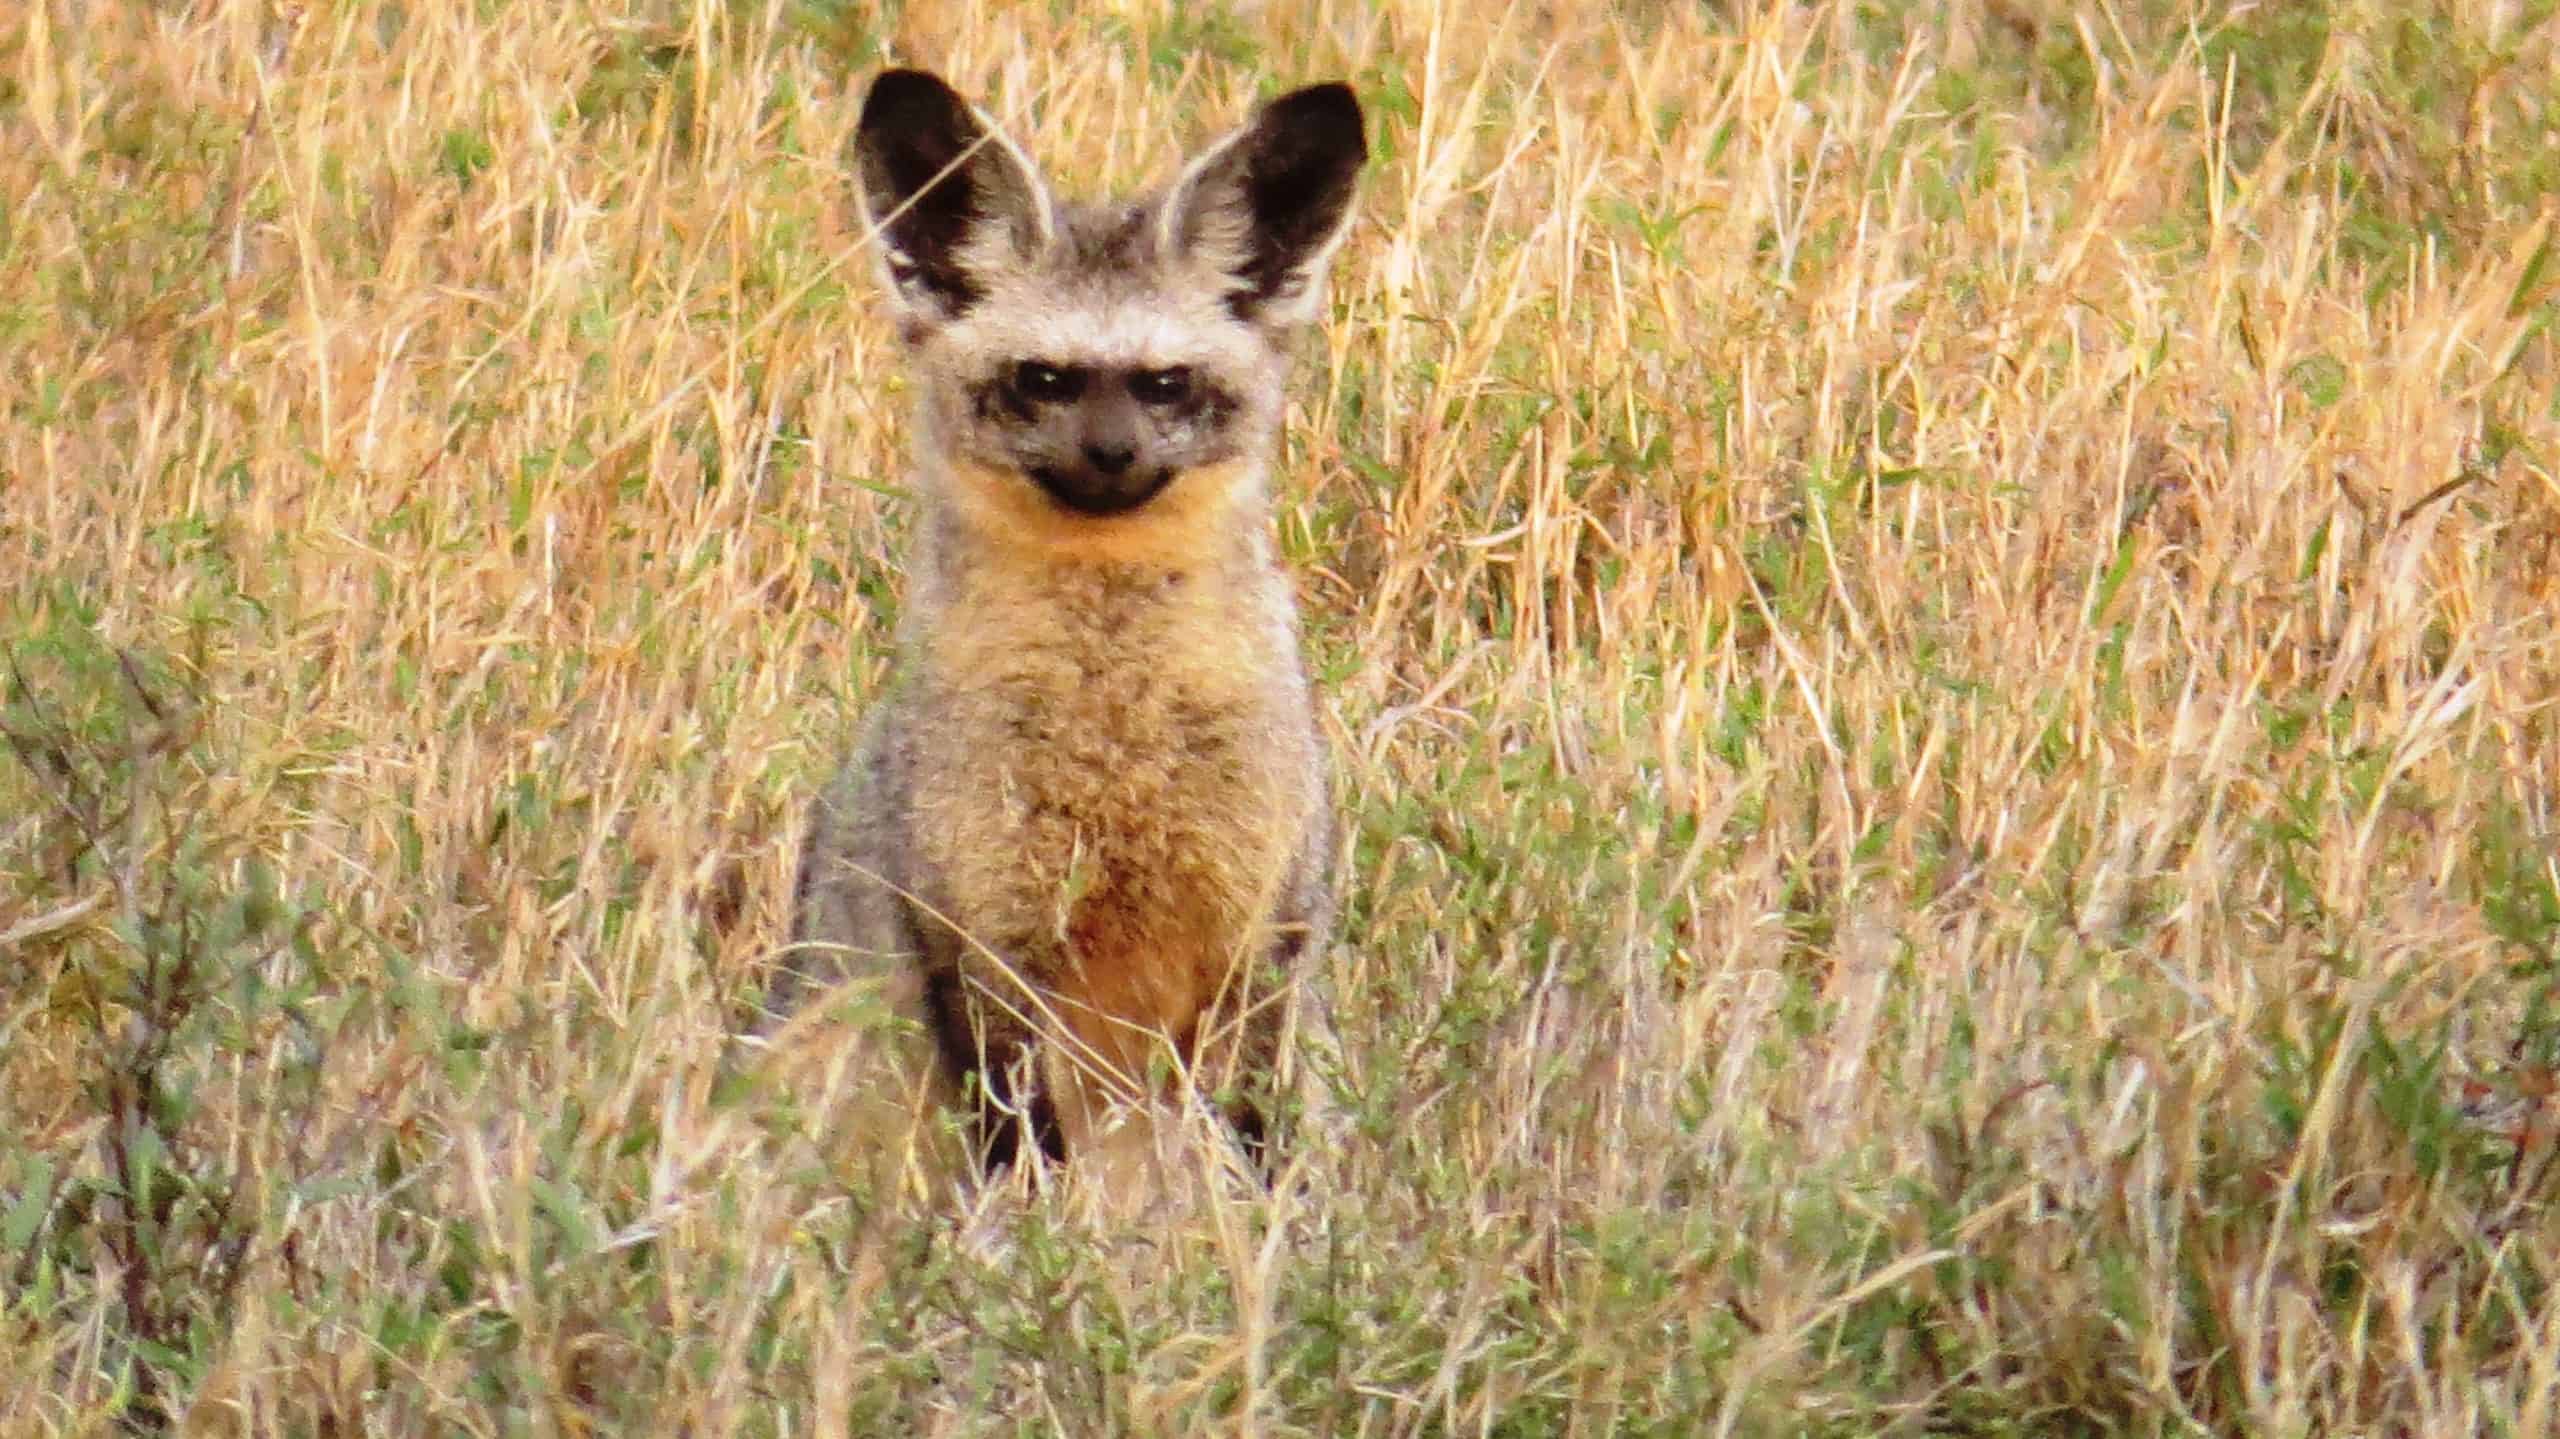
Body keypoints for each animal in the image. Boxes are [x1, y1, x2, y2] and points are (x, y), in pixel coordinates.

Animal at [766, 68, 1365, 1194]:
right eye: (1043, 378)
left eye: (1166, 381)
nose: (1111, 454)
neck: (1114, 731)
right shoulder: (978, 933)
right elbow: (1018, 1138)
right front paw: (1033, 1235)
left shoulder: (1266, 921)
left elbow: (1253, 1131)